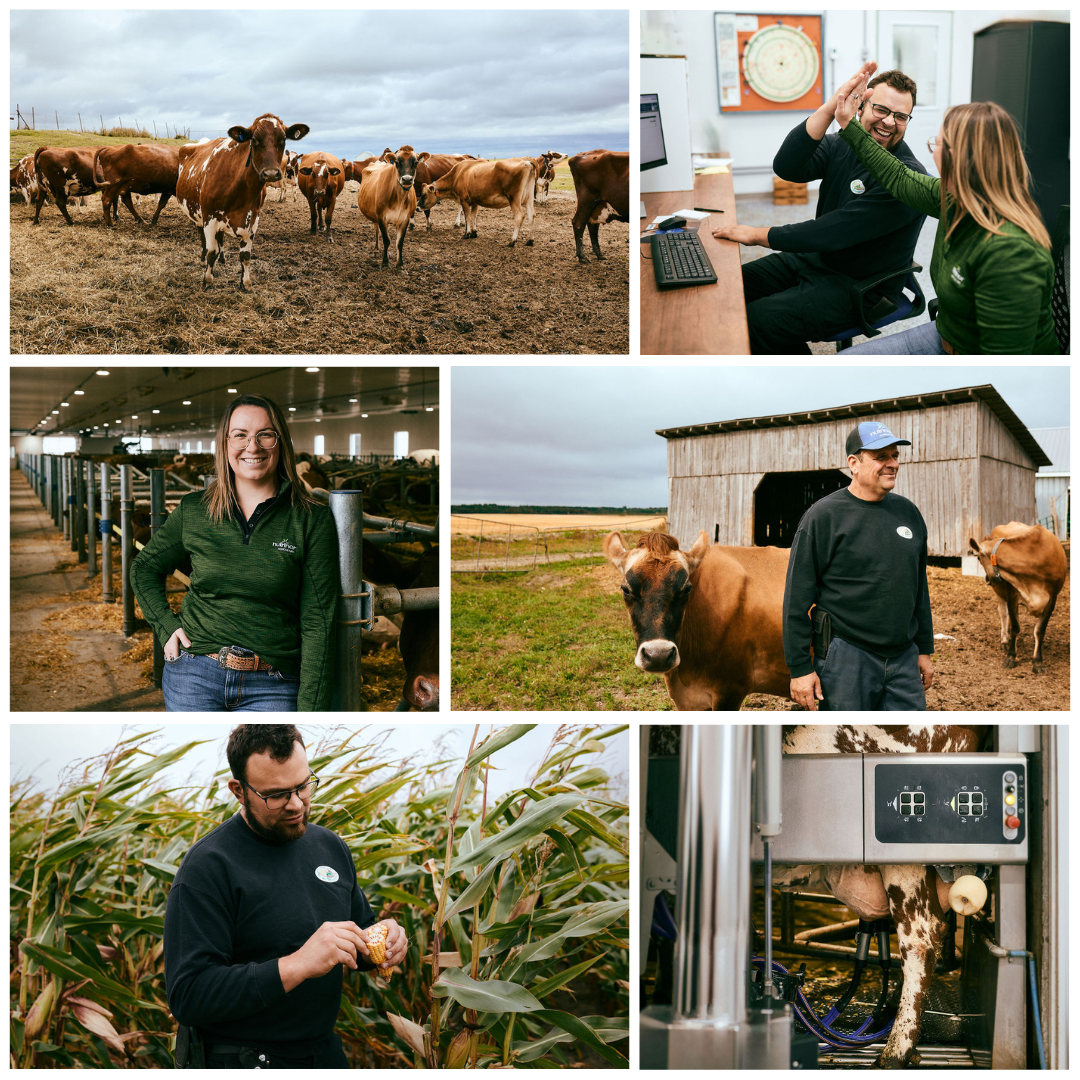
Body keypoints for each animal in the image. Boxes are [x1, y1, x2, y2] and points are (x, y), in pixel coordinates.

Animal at [172, 112, 308, 289]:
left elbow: (245, 255)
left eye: (283, 139)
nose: (271, 173)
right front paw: (207, 280)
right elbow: (211, 252)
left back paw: (222, 260)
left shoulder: (252, 220)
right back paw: (203, 259)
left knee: (220, 239)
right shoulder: (210, 217)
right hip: (197, 214)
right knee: (203, 238)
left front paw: (246, 283)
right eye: (254, 139)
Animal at [967, 520, 1067, 669]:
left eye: (978, 557)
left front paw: (1038, 662)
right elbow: (1014, 626)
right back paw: (1004, 640)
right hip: (1000, 592)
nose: (987, 579)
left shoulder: (1052, 598)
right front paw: (1010, 657)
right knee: (1003, 613)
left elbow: (1040, 630)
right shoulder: (1011, 594)